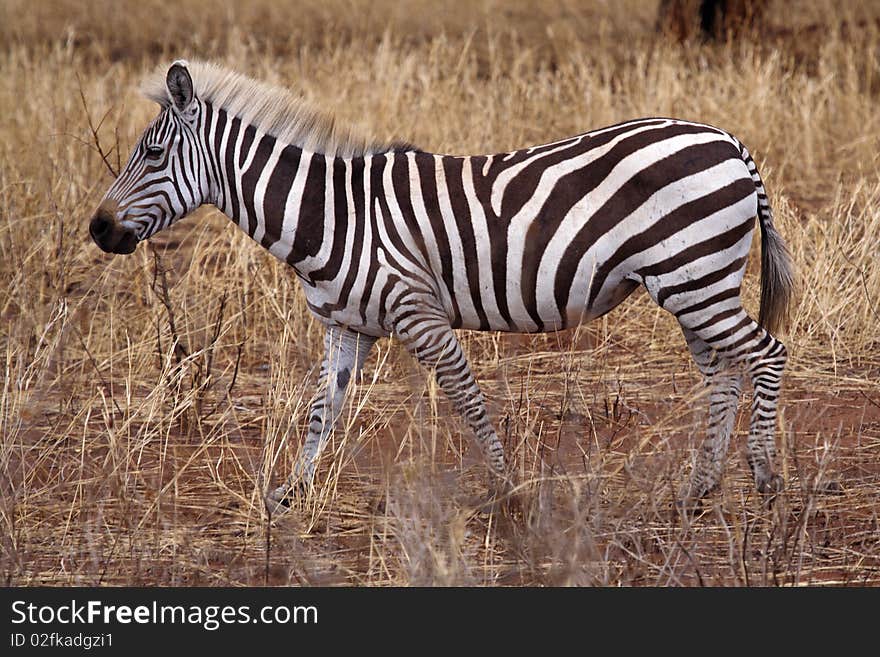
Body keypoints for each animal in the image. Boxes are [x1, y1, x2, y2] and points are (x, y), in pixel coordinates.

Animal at [87, 61, 792, 508]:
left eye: (152, 156)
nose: (98, 229)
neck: (330, 215)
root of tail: (728, 140)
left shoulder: (417, 312)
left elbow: (467, 399)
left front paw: (508, 489)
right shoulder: (346, 326)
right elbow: (322, 411)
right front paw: (291, 495)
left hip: (694, 278)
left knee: (766, 354)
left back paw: (763, 478)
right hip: (693, 283)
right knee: (723, 371)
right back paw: (699, 489)